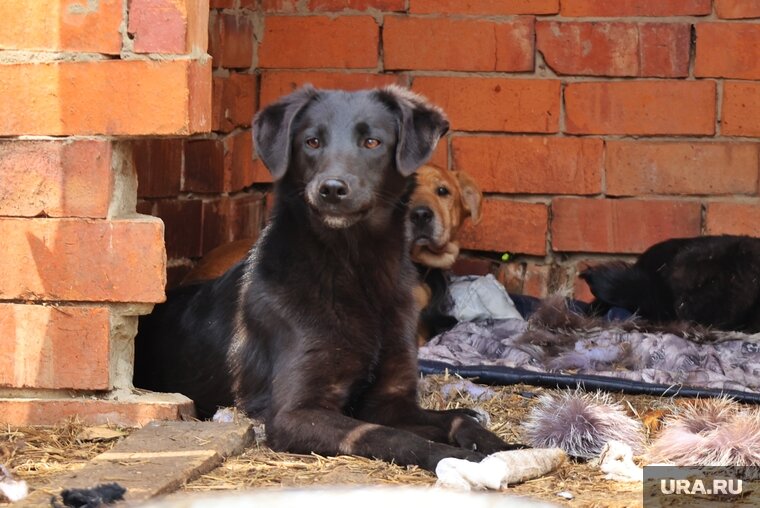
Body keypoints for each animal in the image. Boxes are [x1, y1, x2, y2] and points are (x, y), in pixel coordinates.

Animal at [137, 85, 516, 470]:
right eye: (312, 141)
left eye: (372, 142)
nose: (332, 188)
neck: (357, 269)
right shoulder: (295, 414)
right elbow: (385, 434)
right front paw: (454, 456)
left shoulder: (390, 401)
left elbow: (455, 419)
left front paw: (503, 447)